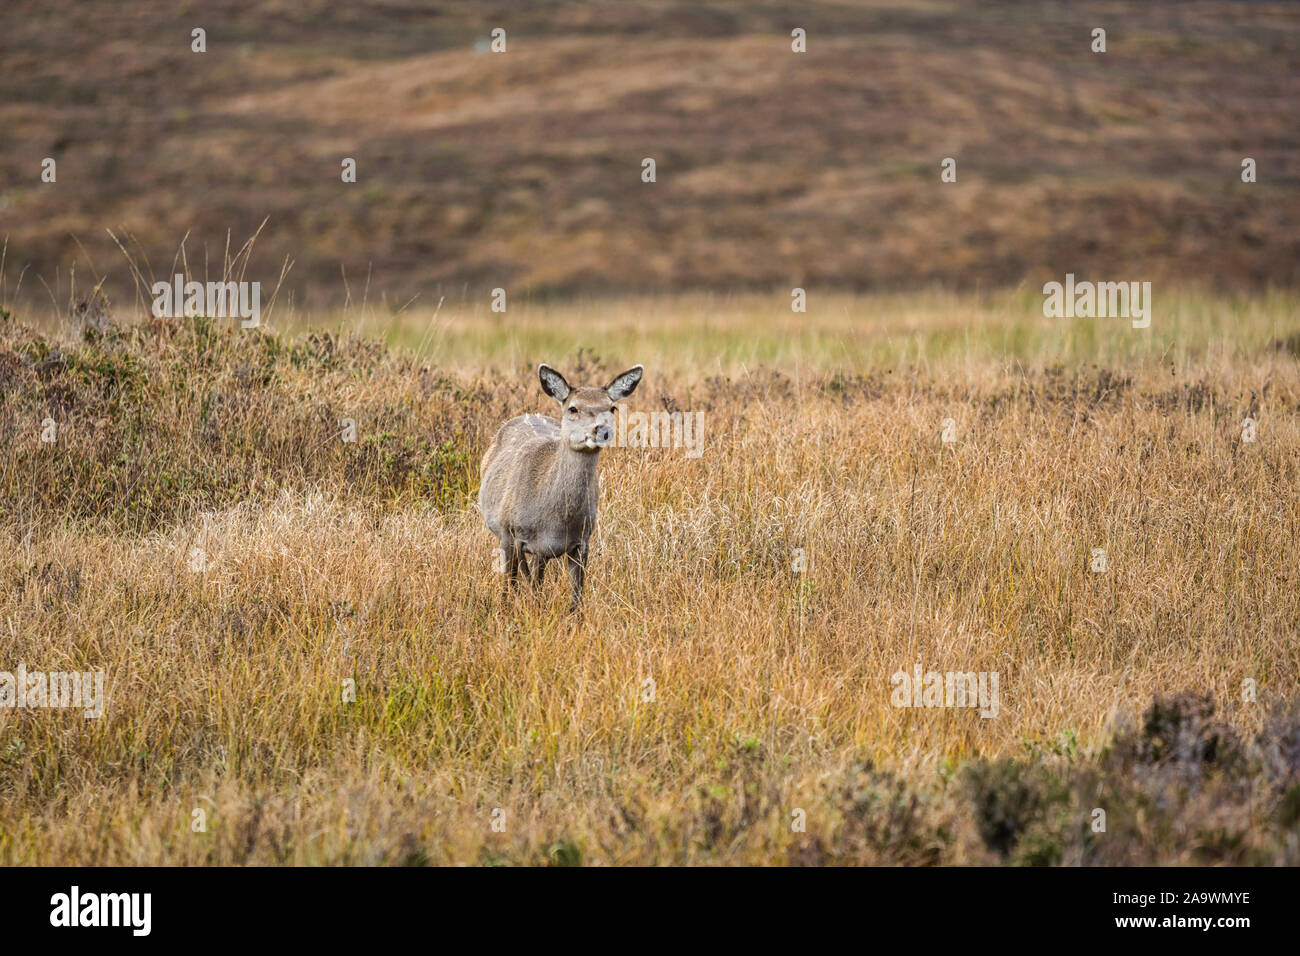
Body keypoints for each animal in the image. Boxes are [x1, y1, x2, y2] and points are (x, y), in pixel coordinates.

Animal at [479, 363, 643, 611]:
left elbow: (576, 598)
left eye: (612, 407)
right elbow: (525, 589)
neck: (556, 521)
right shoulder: (516, 534)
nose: (602, 430)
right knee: (513, 580)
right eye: (573, 408)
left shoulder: (582, 541)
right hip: (504, 532)